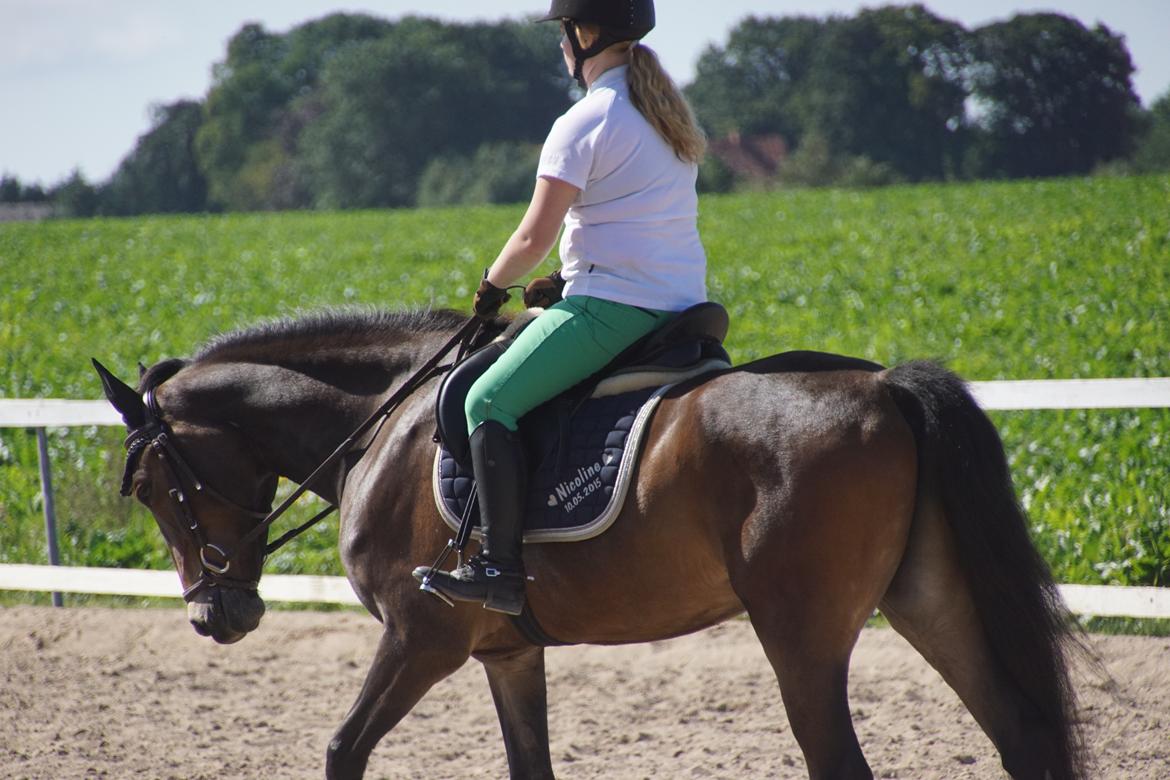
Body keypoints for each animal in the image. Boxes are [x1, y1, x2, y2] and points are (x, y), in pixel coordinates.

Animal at [93, 308, 1085, 776]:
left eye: (148, 487)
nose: (214, 617)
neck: (386, 421)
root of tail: (883, 387)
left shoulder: (420, 639)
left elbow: (343, 752)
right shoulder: (504, 652)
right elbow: (529, 766)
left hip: (802, 638)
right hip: (930, 601)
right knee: (1023, 737)